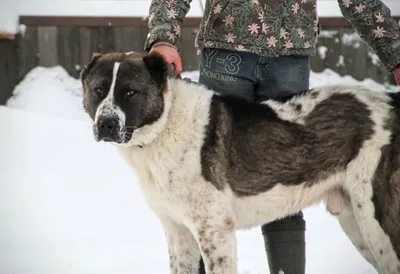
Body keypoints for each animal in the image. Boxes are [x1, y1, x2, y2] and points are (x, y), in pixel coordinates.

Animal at [79, 51, 400, 274]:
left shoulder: (215, 230)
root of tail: (392, 100)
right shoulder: (178, 232)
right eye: (98, 91)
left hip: (377, 222)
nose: (106, 125)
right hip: (356, 222)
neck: (164, 125)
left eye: (130, 92)